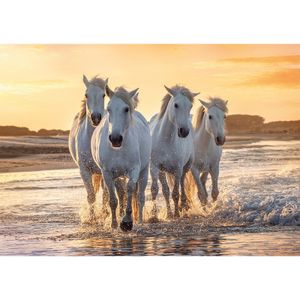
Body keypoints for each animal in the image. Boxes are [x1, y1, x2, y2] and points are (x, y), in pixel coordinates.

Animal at [68, 75, 126, 218]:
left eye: (103, 95)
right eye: (86, 94)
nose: (96, 118)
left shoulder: (106, 171)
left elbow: (106, 195)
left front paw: (105, 215)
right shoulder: (84, 171)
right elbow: (91, 196)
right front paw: (92, 218)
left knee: (120, 192)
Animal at [90, 85, 151, 231]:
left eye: (126, 109)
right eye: (108, 109)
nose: (115, 139)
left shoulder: (134, 170)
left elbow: (130, 189)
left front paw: (127, 222)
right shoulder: (107, 173)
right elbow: (113, 200)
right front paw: (114, 224)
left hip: (144, 171)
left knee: (140, 197)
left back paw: (140, 221)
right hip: (117, 175)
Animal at [150, 84, 199, 218]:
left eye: (190, 106)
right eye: (176, 105)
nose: (184, 131)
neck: (166, 139)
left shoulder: (178, 169)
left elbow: (176, 192)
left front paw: (177, 213)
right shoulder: (155, 167)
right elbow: (157, 190)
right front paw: (155, 215)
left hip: (185, 167)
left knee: (182, 184)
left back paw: (184, 206)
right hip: (164, 171)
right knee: (167, 190)